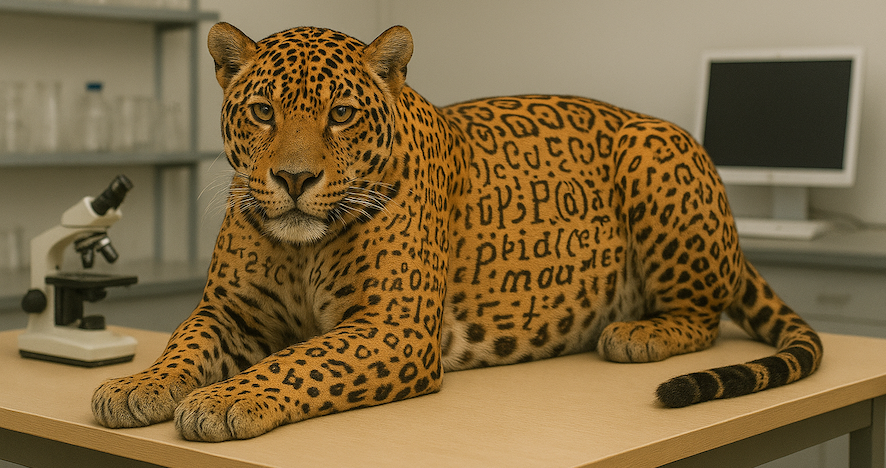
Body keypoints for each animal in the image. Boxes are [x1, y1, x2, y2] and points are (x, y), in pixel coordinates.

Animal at [92, 22, 823, 442]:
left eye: (342, 114)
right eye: (264, 112)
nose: (294, 179)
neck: (302, 250)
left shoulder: (392, 327)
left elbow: (300, 358)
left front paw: (229, 397)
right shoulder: (227, 313)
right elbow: (183, 345)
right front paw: (136, 386)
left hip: (653, 153)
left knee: (703, 316)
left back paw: (636, 335)